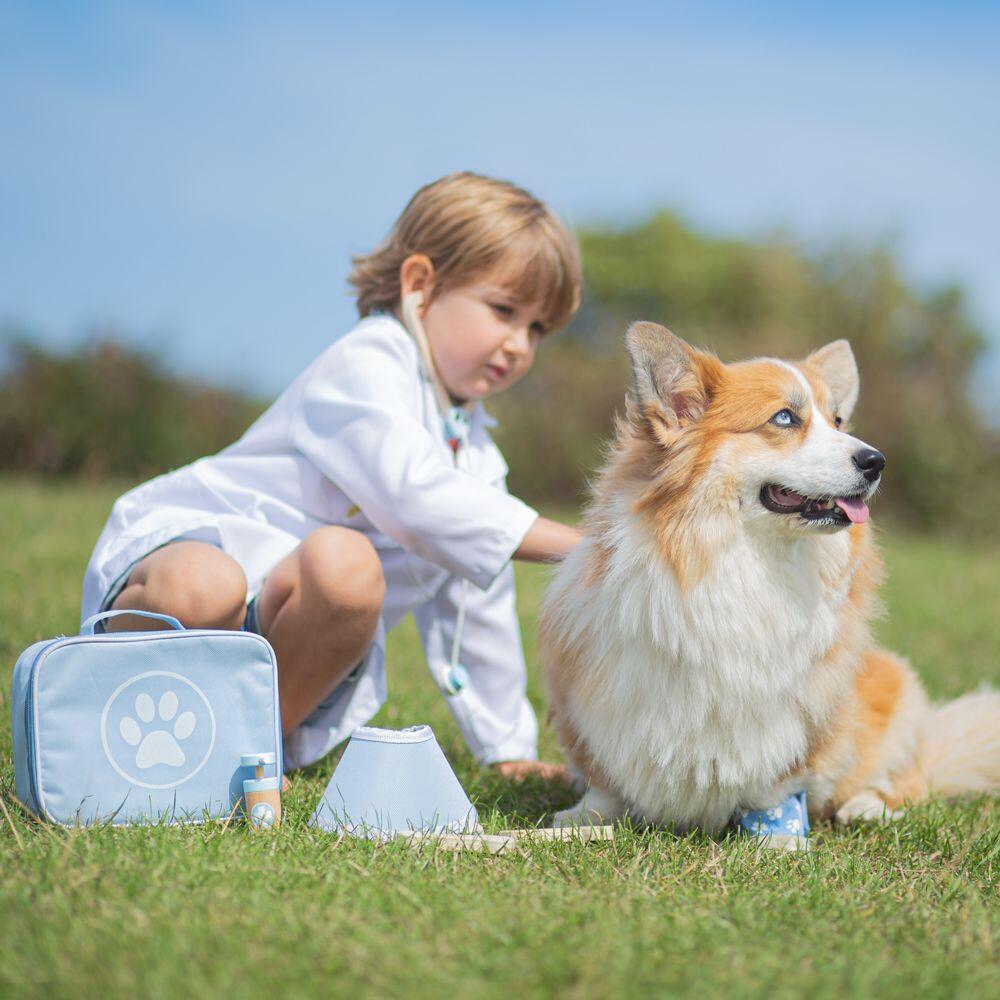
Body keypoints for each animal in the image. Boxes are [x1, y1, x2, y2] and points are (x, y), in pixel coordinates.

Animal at [544, 324, 996, 832]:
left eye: (838, 420)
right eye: (784, 418)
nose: (877, 461)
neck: (744, 556)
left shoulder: (804, 707)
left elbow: (778, 767)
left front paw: (778, 828)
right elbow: (602, 775)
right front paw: (585, 817)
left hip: (893, 684)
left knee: (904, 776)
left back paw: (865, 805)